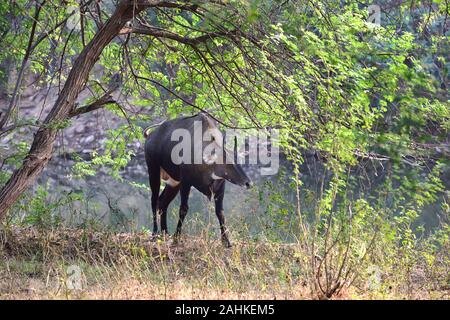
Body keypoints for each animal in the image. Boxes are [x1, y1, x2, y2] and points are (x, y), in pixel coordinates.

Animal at [144, 113, 251, 248]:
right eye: (228, 163)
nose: (248, 183)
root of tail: (150, 136)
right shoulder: (186, 182)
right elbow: (183, 209)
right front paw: (176, 238)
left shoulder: (220, 186)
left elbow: (220, 212)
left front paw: (226, 241)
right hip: (154, 171)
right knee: (154, 200)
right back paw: (155, 233)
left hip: (174, 182)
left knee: (163, 202)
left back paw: (165, 233)